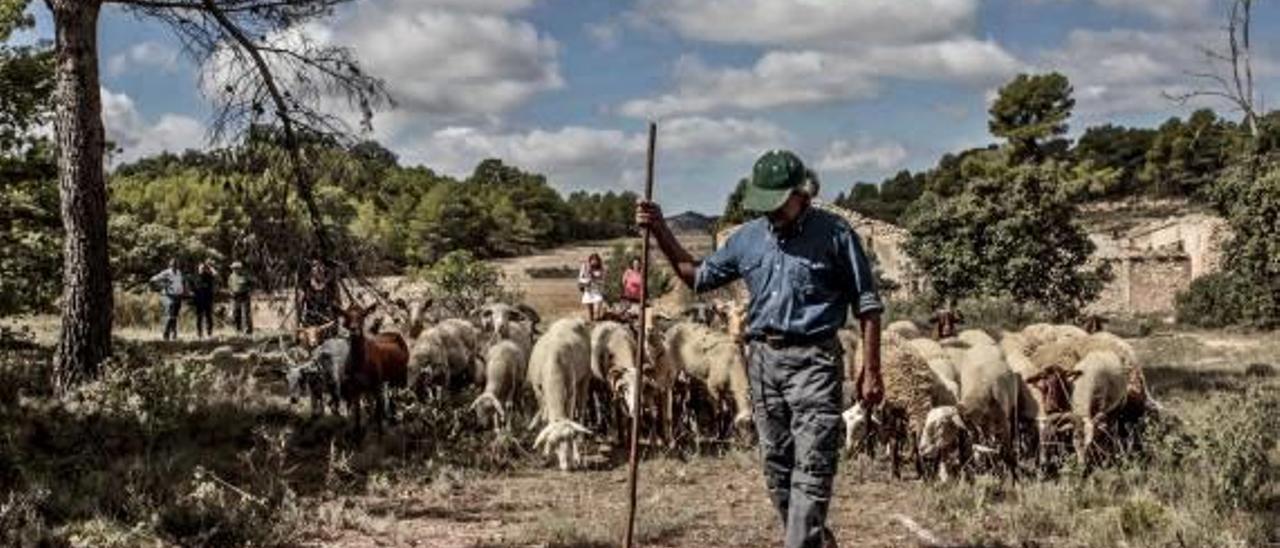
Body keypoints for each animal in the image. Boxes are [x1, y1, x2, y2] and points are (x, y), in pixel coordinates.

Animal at [527, 316, 591, 471]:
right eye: (554, 443)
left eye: (570, 439)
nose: (566, 467)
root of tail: (570, 319)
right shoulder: (538, 392)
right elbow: (545, 420)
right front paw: (546, 454)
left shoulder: (571, 391)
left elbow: (570, 416)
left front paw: (576, 457)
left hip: (585, 377)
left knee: (581, 408)